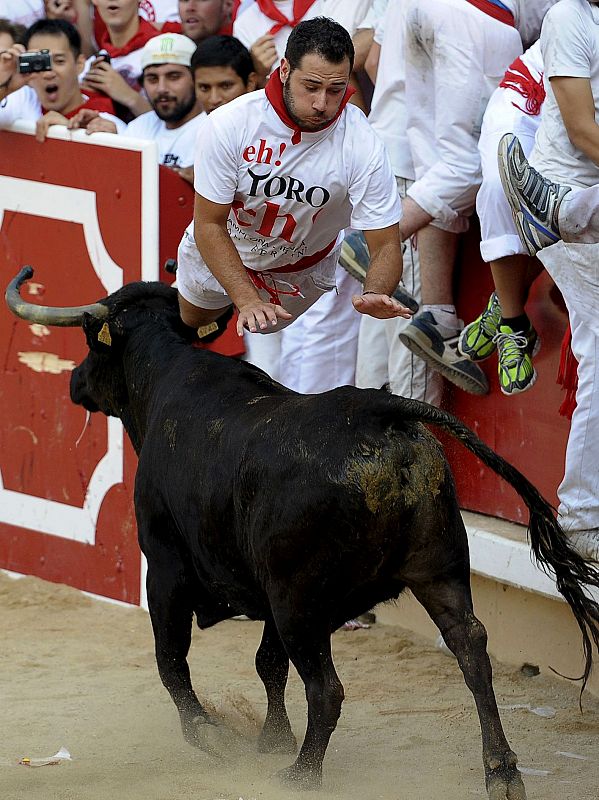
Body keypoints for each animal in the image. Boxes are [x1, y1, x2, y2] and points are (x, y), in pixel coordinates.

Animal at [4, 270, 599, 800]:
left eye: (92, 343)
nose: (75, 382)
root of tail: (377, 409)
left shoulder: (168, 567)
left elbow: (172, 661)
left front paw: (211, 736)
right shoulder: (268, 587)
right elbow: (268, 664)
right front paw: (272, 738)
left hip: (301, 600)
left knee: (327, 688)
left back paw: (303, 773)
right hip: (437, 569)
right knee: (471, 649)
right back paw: (502, 772)